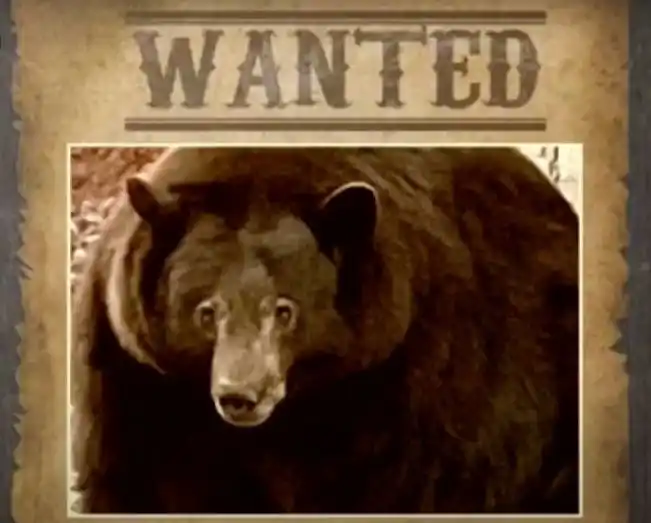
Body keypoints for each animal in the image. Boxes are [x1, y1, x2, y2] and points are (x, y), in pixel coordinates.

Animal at [70, 146, 579, 515]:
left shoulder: (423, 373)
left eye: (285, 310)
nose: (240, 396)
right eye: (205, 312)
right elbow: (139, 480)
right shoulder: (135, 379)